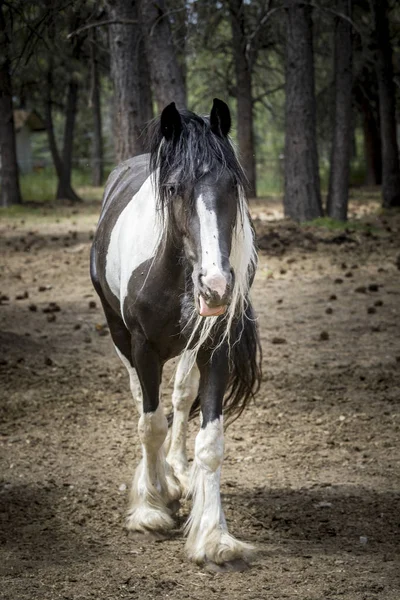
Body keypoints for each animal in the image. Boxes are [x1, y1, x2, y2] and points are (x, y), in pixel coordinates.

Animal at [89, 98, 260, 568]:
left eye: (232, 184)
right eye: (172, 188)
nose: (216, 286)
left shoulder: (215, 349)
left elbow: (210, 440)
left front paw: (214, 536)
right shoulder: (143, 347)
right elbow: (150, 424)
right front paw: (152, 505)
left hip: (189, 346)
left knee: (182, 397)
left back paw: (180, 471)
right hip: (121, 338)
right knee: (141, 401)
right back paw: (161, 481)